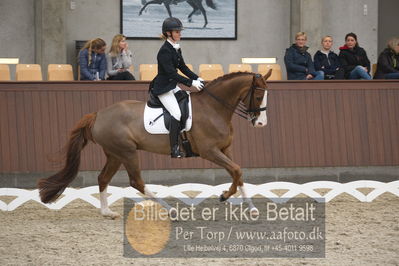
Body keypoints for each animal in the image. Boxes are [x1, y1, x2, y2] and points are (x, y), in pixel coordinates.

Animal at [37, 70, 274, 218]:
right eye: (258, 95)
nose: (261, 123)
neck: (213, 108)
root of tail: (97, 115)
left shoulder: (225, 149)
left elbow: (238, 172)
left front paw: (250, 208)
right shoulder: (210, 151)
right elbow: (236, 170)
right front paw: (224, 196)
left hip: (114, 154)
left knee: (103, 178)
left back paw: (107, 213)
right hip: (127, 152)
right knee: (136, 181)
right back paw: (171, 211)